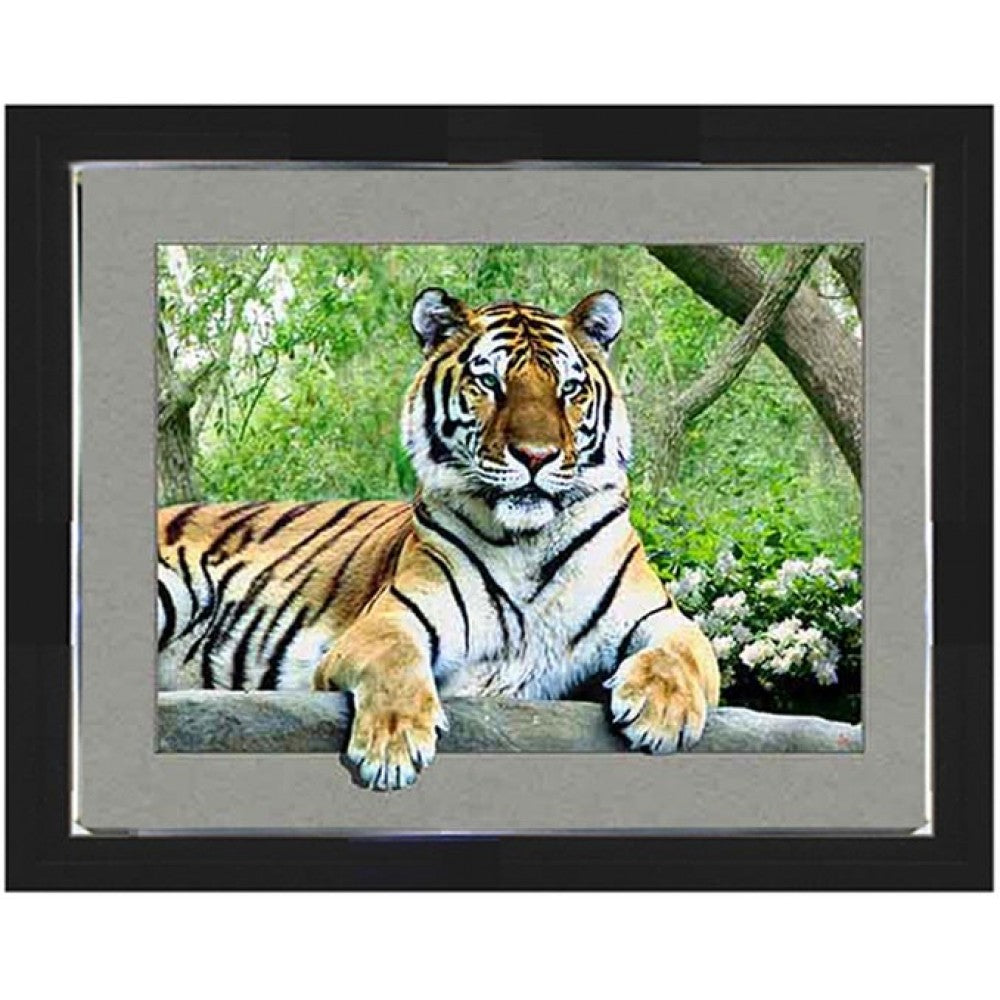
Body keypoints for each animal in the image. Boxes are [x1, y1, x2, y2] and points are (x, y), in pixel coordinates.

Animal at [157, 287, 720, 790]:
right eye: (489, 382)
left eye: (568, 390)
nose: (535, 456)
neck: (528, 542)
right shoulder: (389, 618)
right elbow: (396, 660)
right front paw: (392, 746)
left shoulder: (661, 616)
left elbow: (685, 651)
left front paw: (660, 712)